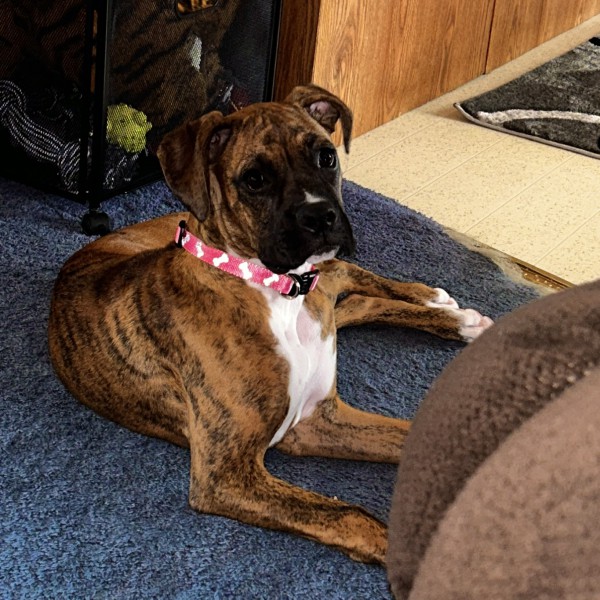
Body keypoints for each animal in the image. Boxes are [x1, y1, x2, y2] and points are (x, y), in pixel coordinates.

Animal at [48, 84, 492, 565]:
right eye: (254, 180)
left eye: (326, 157)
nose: (320, 217)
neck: (277, 292)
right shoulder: (234, 469)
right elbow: (349, 515)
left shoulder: (318, 417)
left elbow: (413, 435)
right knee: (348, 296)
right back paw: (451, 314)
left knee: (344, 274)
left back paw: (442, 306)